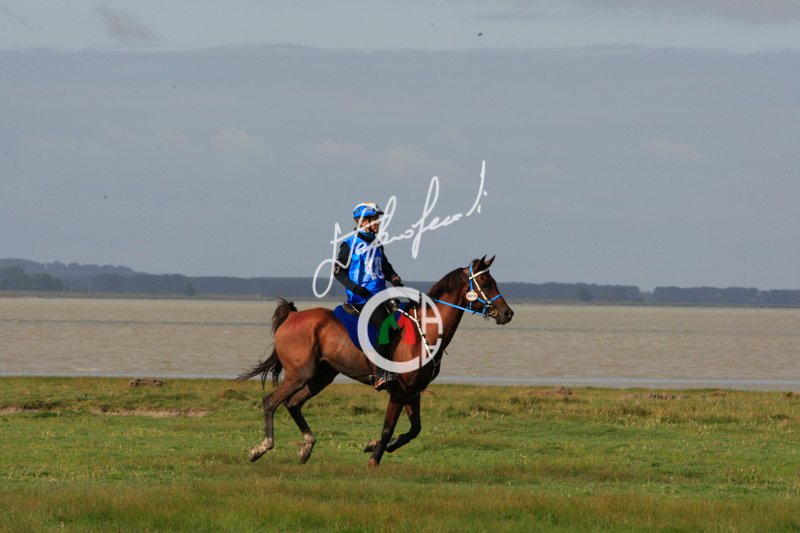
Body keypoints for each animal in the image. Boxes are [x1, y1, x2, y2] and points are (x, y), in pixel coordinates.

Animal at [236, 255, 514, 466]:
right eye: (485, 282)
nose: (507, 313)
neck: (425, 331)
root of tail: (292, 317)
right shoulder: (398, 392)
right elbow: (388, 427)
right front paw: (375, 458)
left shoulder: (413, 392)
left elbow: (415, 429)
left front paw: (376, 446)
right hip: (299, 375)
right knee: (271, 402)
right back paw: (261, 448)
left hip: (321, 377)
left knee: (293, 404)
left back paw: (306, 447)